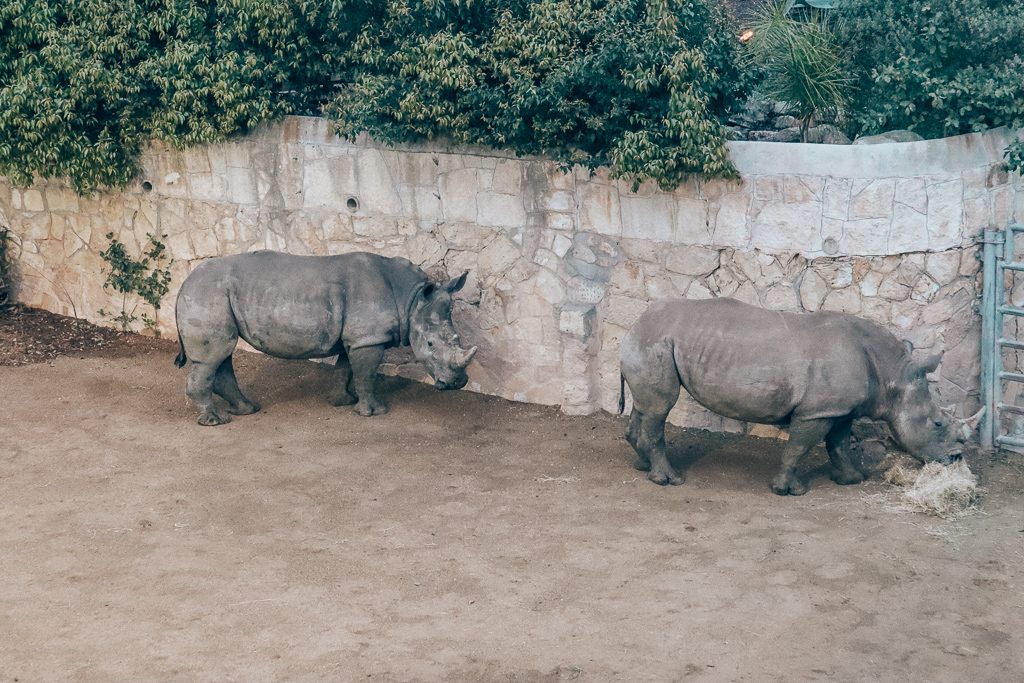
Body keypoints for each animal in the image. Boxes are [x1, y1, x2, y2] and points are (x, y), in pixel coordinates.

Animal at [174, 248, 477, 423]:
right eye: (430, 344)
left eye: (457, 339)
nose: (458, 383)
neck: (411, 300)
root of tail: (183, 284)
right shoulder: (368, 338)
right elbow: (367, 374)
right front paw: (374, 413)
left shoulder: (354, 338)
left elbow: (345, 369)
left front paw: (342, 402)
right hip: (206, 295)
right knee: (214, 356)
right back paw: (214, 421)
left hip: (214, 295)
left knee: (221, 355)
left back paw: (247, 409)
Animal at [618, 299, 962, 497]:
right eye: (938, 424)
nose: (956, 459)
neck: (894, 375)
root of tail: (634, 325)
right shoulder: (817, 411)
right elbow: (799, 447)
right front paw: (788, 490)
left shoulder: (839, 409)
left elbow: (838, 443)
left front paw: (853, 479)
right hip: (656, 343)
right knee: (661, 408)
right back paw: (669, 480)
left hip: (652, 343)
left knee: (646, 407)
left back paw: (642, 465)